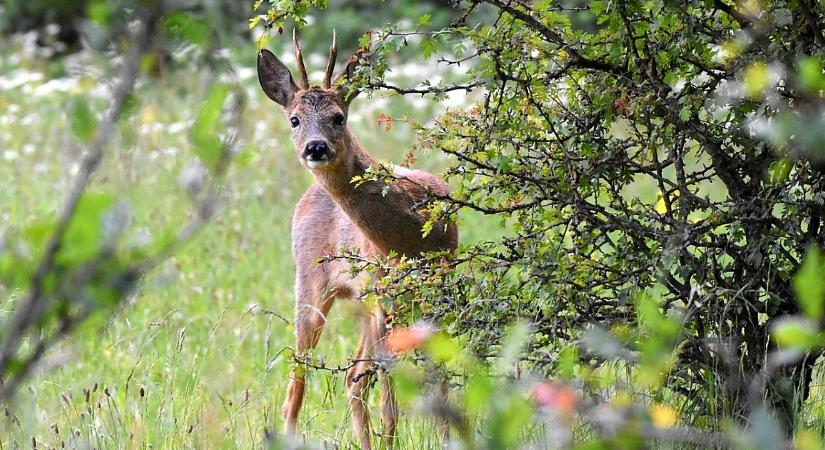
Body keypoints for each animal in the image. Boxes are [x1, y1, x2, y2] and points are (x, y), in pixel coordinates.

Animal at [256, 29, 458, 448]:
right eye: (295, 119)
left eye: (339, 117)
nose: (316, 147)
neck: (411, 237)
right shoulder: (383, 296)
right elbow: (386, 392)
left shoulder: (437, 288)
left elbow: (439, 378)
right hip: (312, 283)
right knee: (300, 384)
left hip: (366, 303)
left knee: (355, 378)